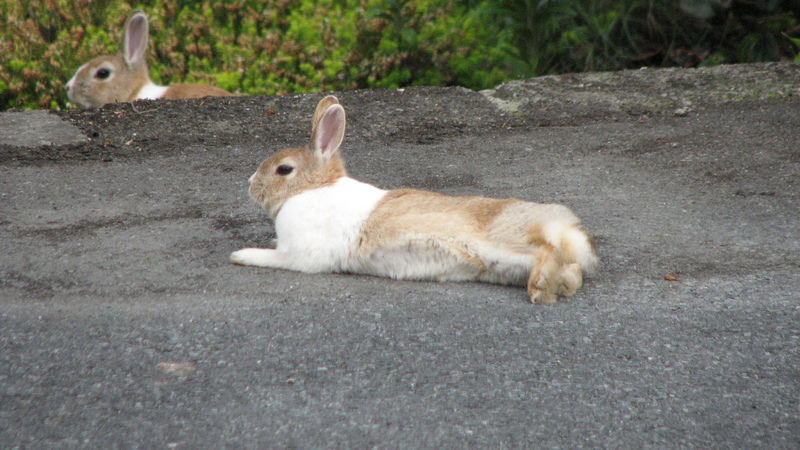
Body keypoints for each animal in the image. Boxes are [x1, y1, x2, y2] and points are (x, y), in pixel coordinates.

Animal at [230, 96, 598, 304]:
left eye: (283, 170)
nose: (250, 185)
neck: (312, 188)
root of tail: (563, 229)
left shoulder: (301, 255)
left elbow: (272, 257)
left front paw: (240, 255)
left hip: (506, 242)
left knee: (548, 253)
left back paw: (540, 291)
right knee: (570, 271)